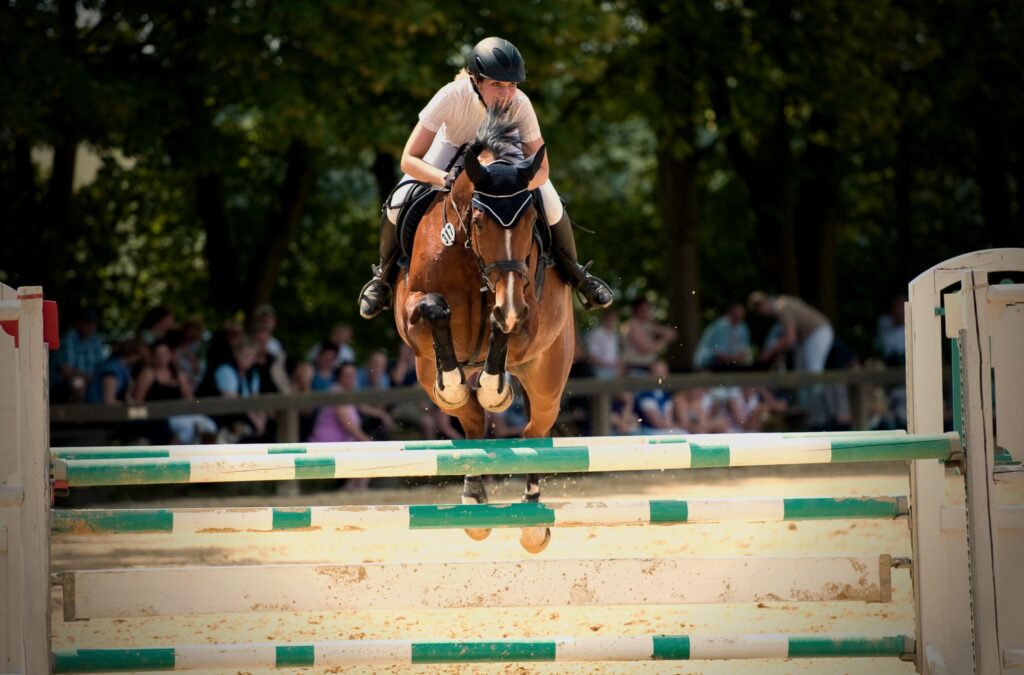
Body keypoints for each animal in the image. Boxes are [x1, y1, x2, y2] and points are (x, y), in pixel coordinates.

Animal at [393, 108, 575, 554]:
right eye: (477, 221)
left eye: (531, 220)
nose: (510, 300)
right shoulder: (411, 314)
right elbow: (433, 307)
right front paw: (461, 383)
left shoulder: (528, 317)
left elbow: (501, 324)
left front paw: (496, 387)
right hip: (424, 371)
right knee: (471, 421)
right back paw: (473, 498)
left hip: (548, 378)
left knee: (535, 433)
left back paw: (532, 523)